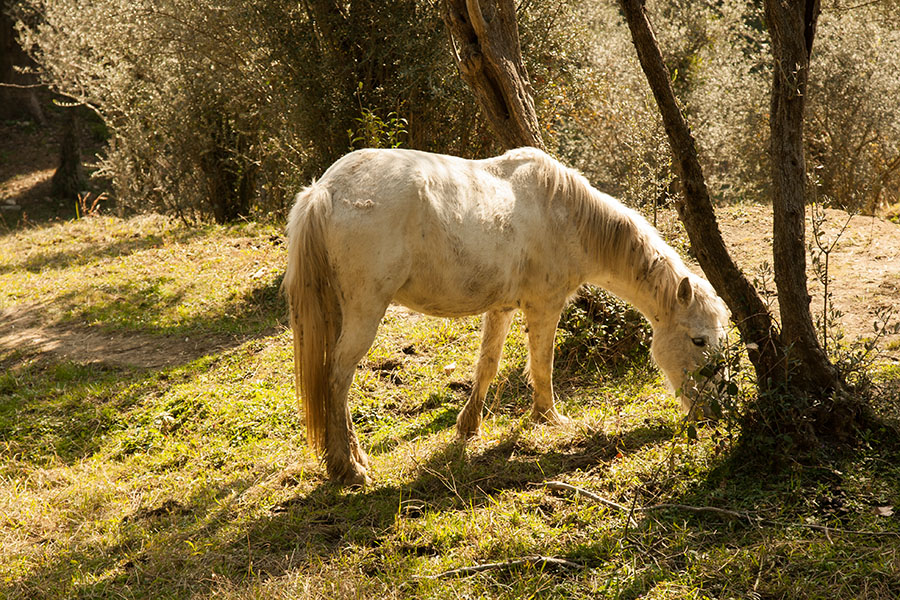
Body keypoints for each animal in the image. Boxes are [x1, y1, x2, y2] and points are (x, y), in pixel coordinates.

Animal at [284, 148, 732, 486]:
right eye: (698, 340)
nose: (715, 411)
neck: (563, 212)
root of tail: (325, 190)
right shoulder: (545, 306)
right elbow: (542, 365)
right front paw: (549, 418)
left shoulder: (500, 308)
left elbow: (487, 364)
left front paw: (469, 426)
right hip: (365, 310)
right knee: (337, 377)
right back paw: (349, 469)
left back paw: (348, 459)